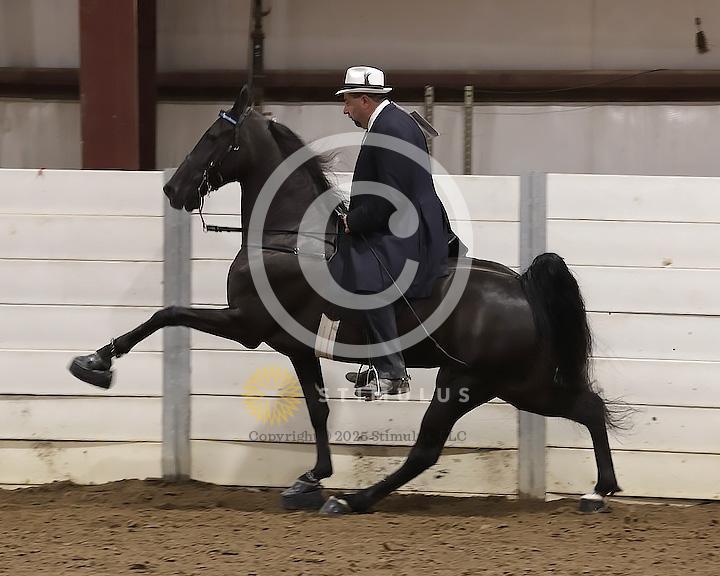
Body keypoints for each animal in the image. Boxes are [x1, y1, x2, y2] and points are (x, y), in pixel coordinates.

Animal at [69, 86, 621, 515]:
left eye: (212, 137)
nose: (172, 189)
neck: (289, 237)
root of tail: (522, 286)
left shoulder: (245, 325)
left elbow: (167, 313)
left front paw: (94, 363)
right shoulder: (294, 345)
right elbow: (317, 410)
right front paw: (312, 478)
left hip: (469, 382)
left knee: (426, 450)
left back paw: (354, 500)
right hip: (519, 384)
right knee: (588, 408)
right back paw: (599, 492)